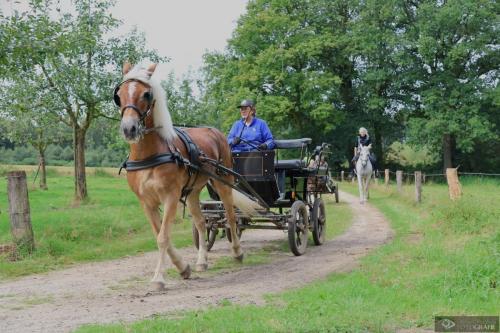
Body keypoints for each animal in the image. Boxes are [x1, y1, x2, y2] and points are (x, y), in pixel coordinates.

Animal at [114, 61, 246, 288]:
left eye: (146, 94)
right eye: (119, 94)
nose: (129, 128)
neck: (150, 153)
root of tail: (214, 131)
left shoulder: (171, 196)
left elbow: (163, 237)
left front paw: (158, 278)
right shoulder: (146, 202)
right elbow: (160, 234)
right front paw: (183, 267)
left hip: (223, 181)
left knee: (230, 216)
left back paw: (237, 252)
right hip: (193, 192)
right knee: (201, 222)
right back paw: (202, 261)